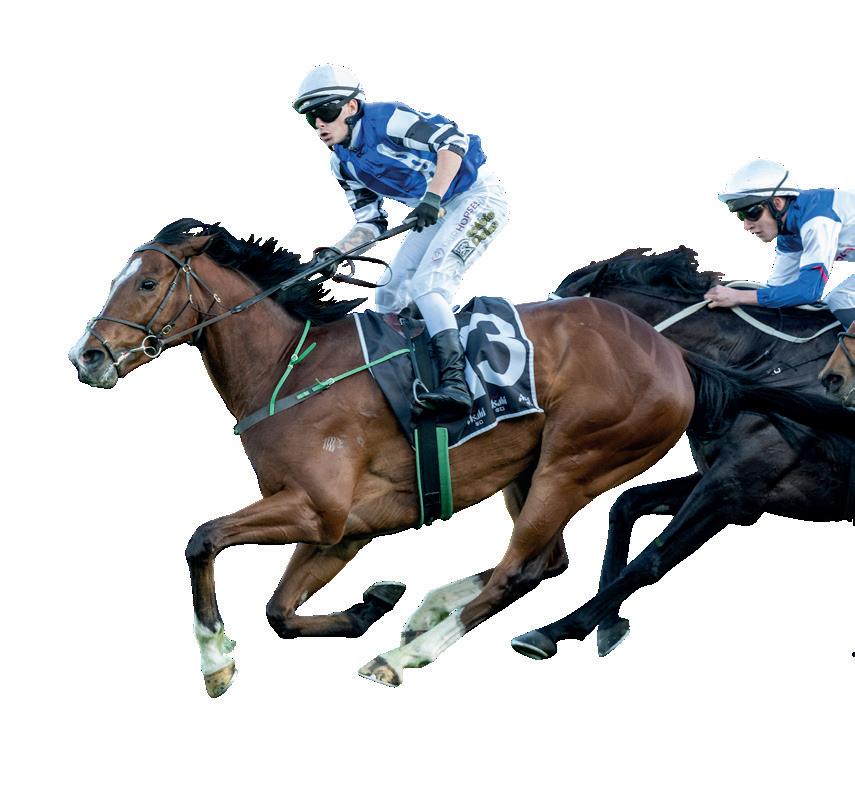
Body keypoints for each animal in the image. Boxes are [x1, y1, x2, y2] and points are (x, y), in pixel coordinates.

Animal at [510, 247, 855, 661]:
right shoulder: (728, 483)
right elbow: (626, 504)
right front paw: (608, 624)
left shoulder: (734, 487)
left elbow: (652, 559)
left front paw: (554, 630)